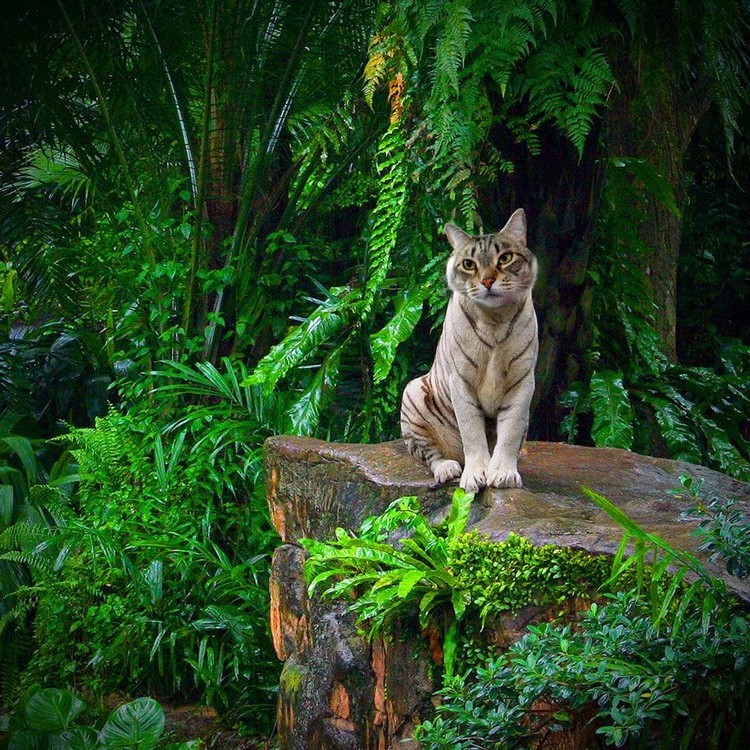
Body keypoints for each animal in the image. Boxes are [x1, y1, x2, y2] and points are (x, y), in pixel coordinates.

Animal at [402, 210, 536, 494]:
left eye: (505, 258)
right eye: (469, 264)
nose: (487, 281)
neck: (495, 318)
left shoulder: (522, 381)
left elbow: (510, 431)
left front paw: (503, 473)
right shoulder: (460, 382)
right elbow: (472, 432)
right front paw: (475, 475)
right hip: (412, 393)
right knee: (429, 453)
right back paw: (447, 468)